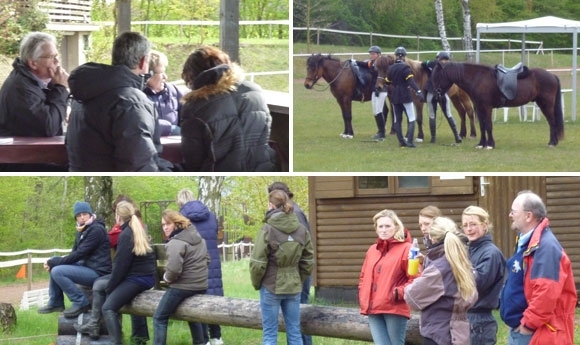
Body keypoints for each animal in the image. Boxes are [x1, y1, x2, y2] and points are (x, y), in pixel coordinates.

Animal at [432, 61, 564, 148]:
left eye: (438, 76)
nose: (434, 92)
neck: (478, 79)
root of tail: (552, 75)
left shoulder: (487, 107)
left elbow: (488, 125)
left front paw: (490, 144)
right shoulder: (479, 108)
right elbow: (482, 126)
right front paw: (481, 144)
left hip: (546, 105)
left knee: (552, 122)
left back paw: (552, 143)